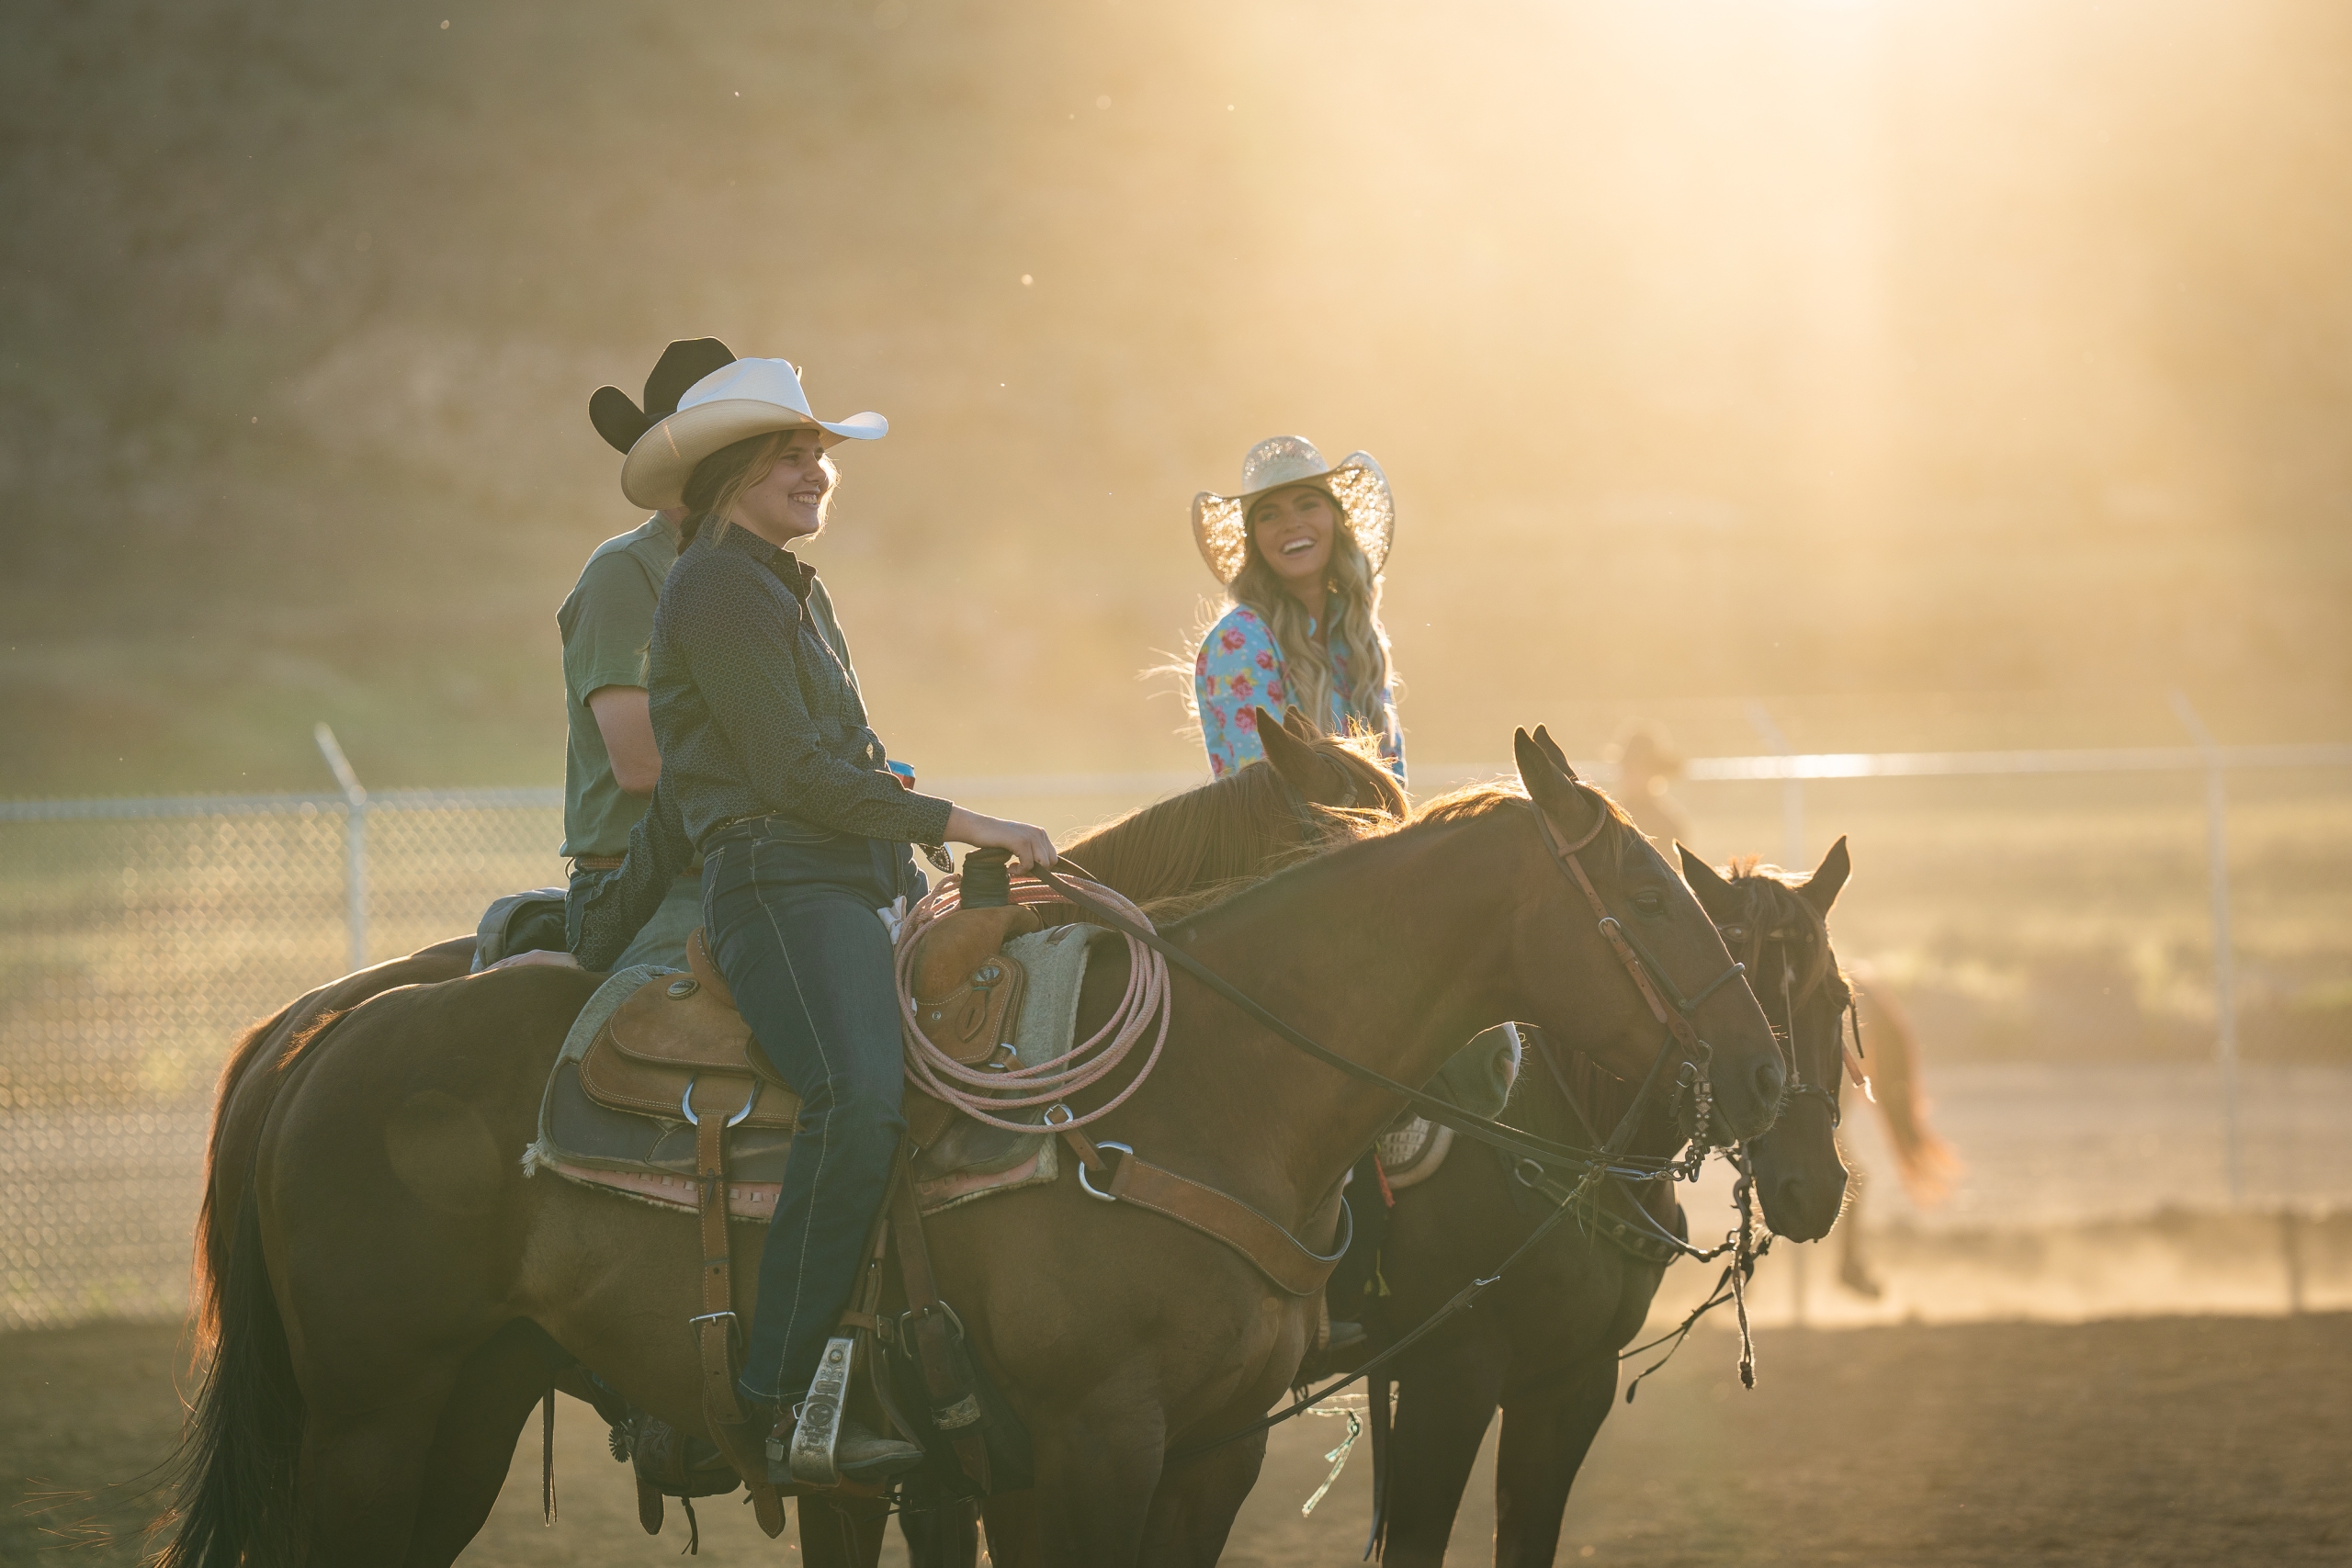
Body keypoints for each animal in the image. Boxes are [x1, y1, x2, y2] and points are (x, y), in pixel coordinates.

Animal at [161, 728, 1778, 1561]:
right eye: (1643, 891)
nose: (1764, 1069)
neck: (1203, 1087)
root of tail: (325, 1030)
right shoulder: (1090, 1437)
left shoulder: (1206, 1446)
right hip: (373, 1411)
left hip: (469, 1401)